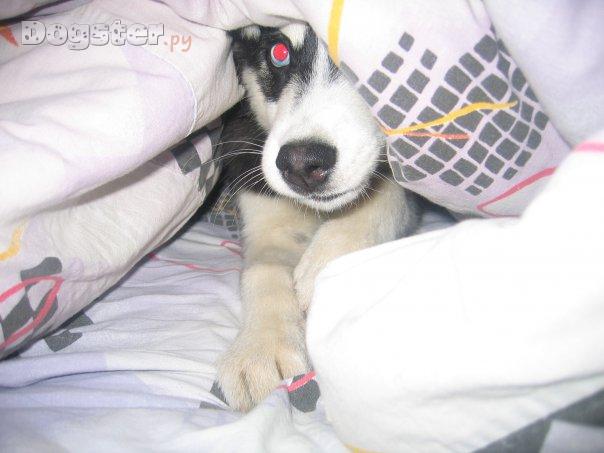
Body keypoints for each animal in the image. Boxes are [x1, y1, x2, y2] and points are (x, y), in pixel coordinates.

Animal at [215, 23, 418, 411]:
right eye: (279, 52)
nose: (301, 164)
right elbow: (263, 267)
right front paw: (259, 346)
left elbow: (386, 194)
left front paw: (328, 263)